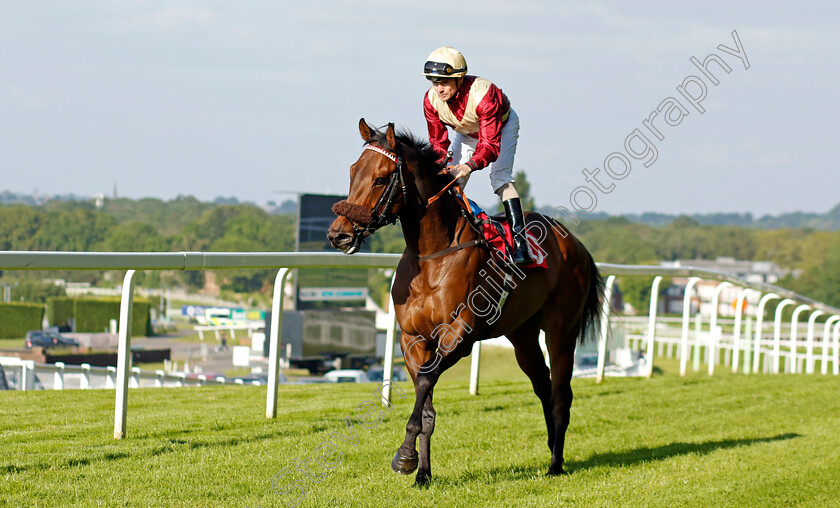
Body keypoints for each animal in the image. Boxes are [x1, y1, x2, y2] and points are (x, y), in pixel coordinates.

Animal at [328, 118, 604, 484]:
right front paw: (422, 473)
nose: (339, 234)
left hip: (561, 330)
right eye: (353, 171)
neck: (432, 257)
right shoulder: (411, 339)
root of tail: (576, 243)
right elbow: (426, 404)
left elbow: (426, 381)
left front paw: (404, 457)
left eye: (381, 178)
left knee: (561, 391)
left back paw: (556, 463)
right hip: (522, 334)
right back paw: (550, 447)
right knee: (542, 383)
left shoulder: (459, 335)